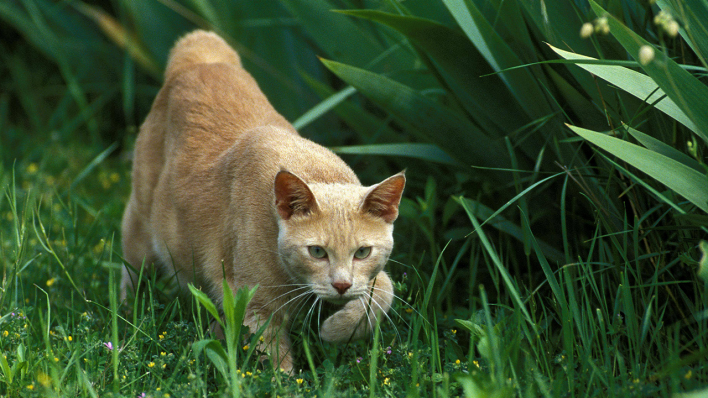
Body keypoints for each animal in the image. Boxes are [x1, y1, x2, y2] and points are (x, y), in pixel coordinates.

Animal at [121, 29, 404, 372]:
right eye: (317, 251)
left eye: (362, 252)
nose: (341, 286)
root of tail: (203, 54)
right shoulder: (253, 300)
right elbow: (275, 361)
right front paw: (286, 377)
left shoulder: (370, 278)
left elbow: (384, 292)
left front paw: (338, 329)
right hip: (141, 229)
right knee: (131, 271)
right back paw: (127, 315)